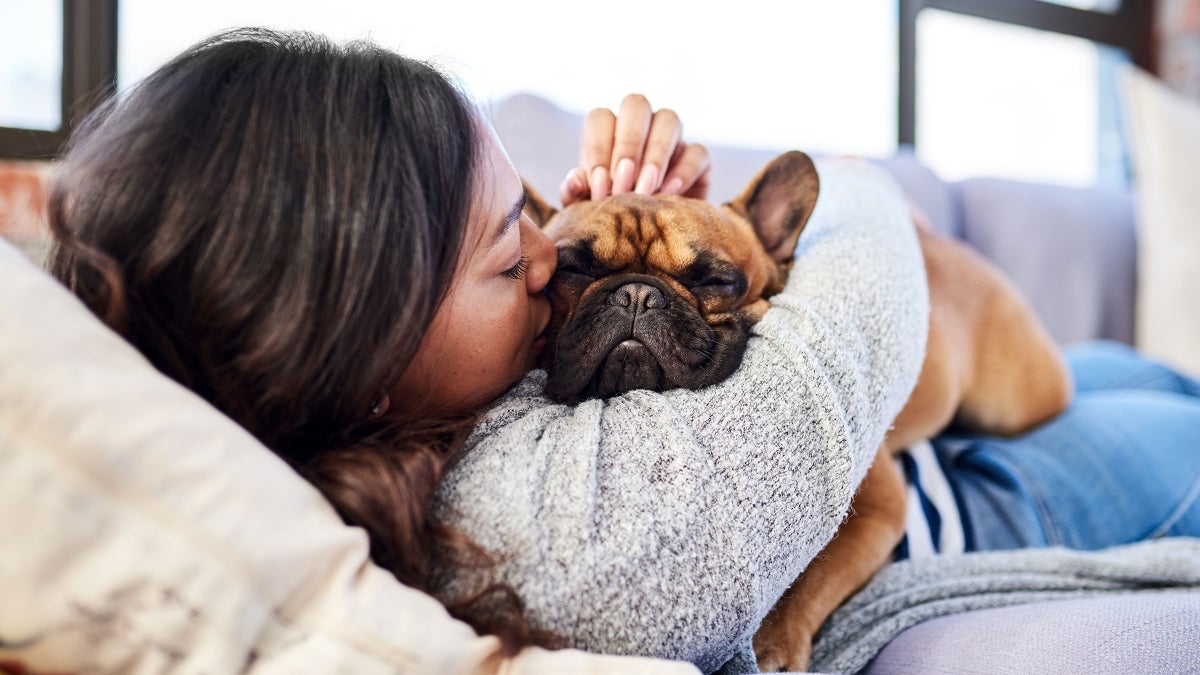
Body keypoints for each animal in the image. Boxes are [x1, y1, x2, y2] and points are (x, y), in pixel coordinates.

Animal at [523, 152, 1070, 672]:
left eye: (717, 280)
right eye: (571, 270)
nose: (637, 293)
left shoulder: (877, 507)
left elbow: (807, 579)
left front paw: (772, 647)